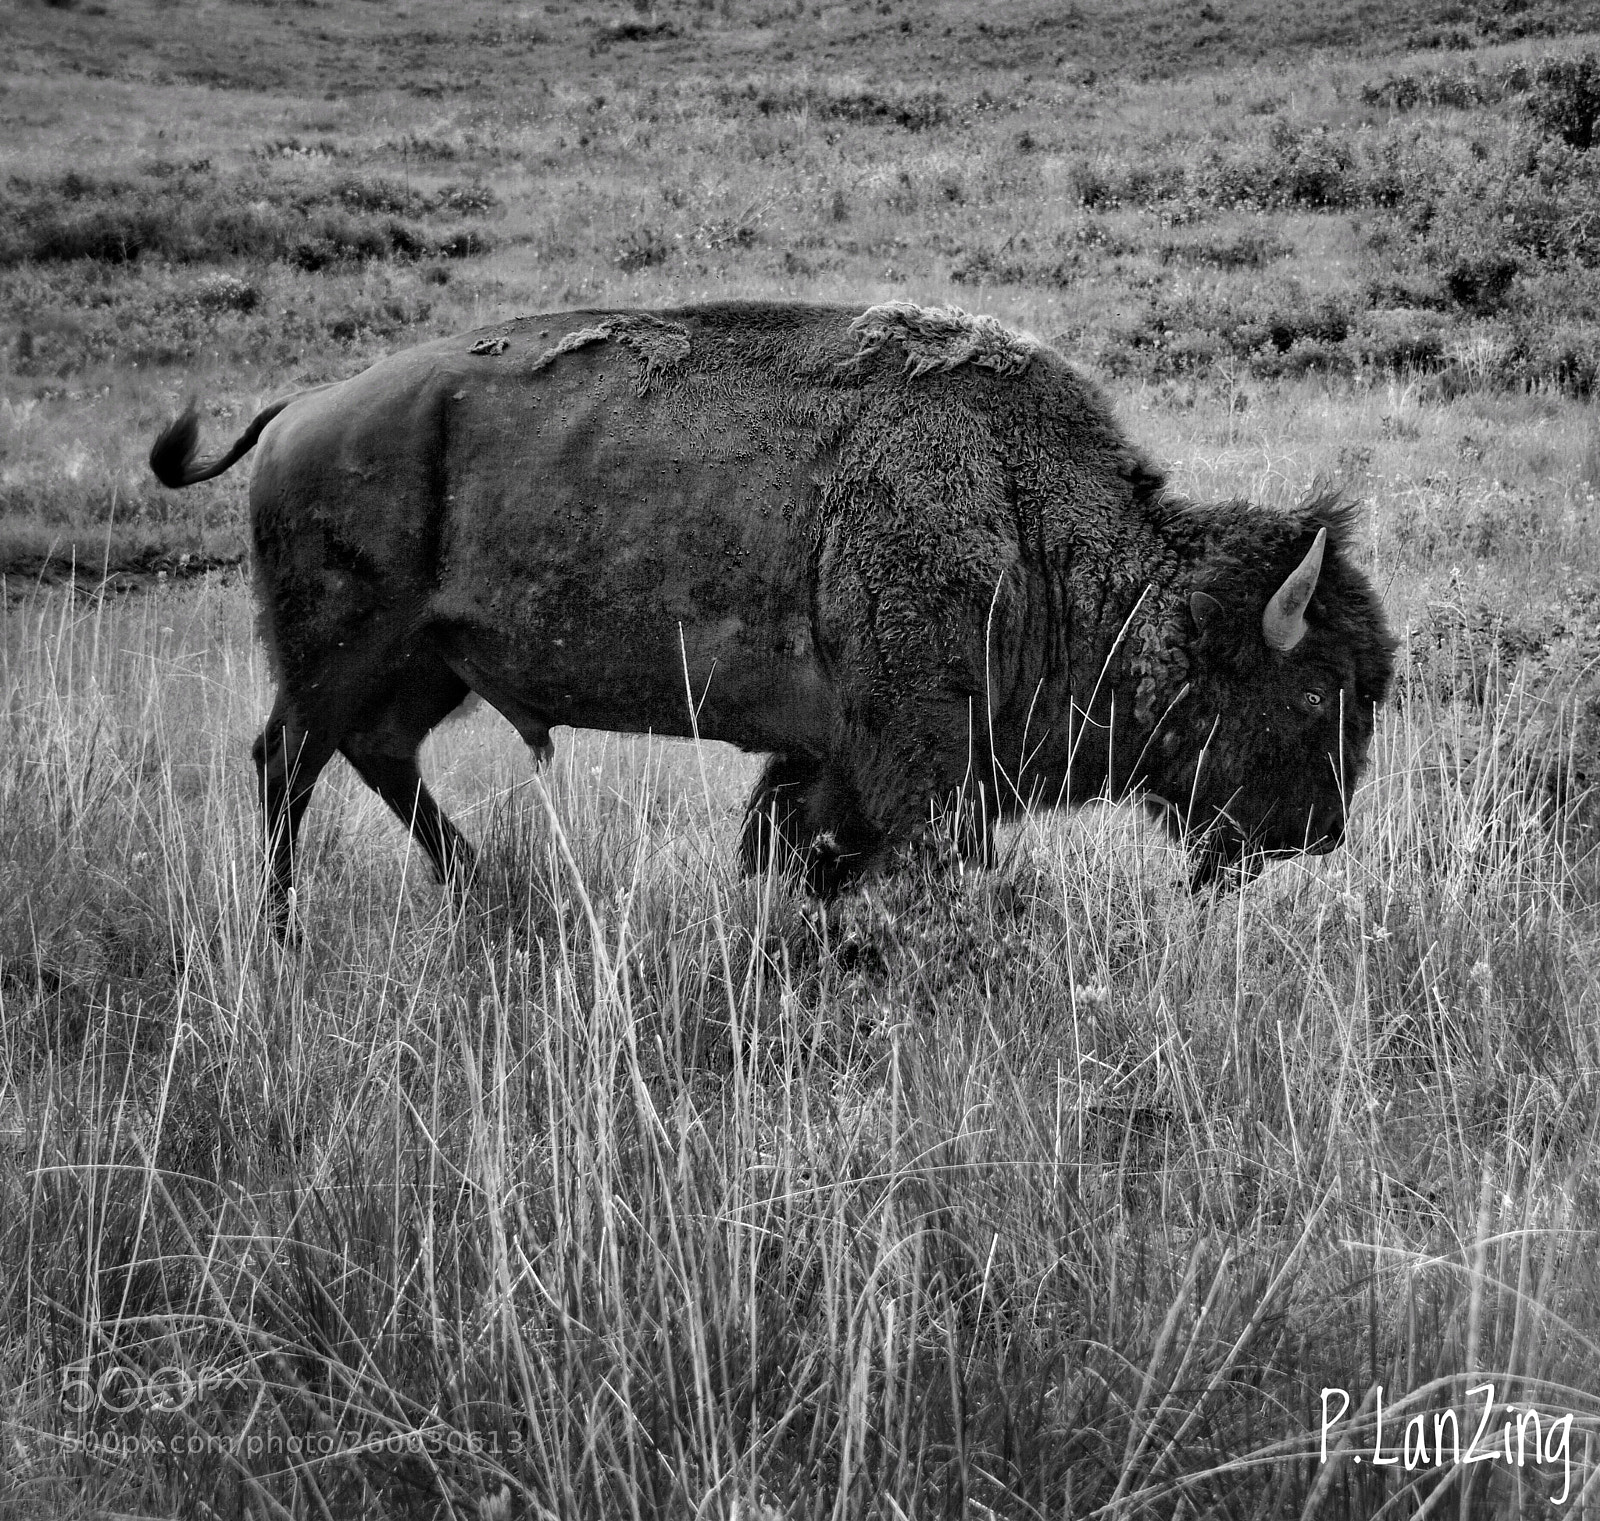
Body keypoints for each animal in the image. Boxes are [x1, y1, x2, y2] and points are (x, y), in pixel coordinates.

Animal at [150, 300, 1395, 924]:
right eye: (1315, 691)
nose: (1318, 832)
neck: (1028, 515)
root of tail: (298, 409)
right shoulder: (916, 759)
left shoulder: (823, 760)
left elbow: (786, 850)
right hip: (340, 652)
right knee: (287, 764)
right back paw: (283, 927)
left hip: (424, 666)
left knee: (376, 759)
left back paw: (487, 890)